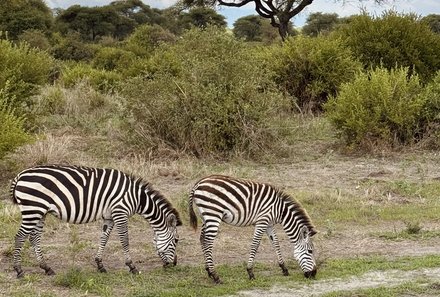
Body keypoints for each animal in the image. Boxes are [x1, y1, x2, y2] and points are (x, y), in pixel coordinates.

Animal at [10, 164, 182, 278]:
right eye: (176, 240)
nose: (174, 265)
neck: (137, 198)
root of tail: (20, 175)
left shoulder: (109, 217)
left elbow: (104, 238)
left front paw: (100, 265)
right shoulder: (120, 212)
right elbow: (125, 240)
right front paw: (132, 266)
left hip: (40, 212)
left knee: (34, 238)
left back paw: (46, 268)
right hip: (33, 209)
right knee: (20, 236)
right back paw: (19, 270)